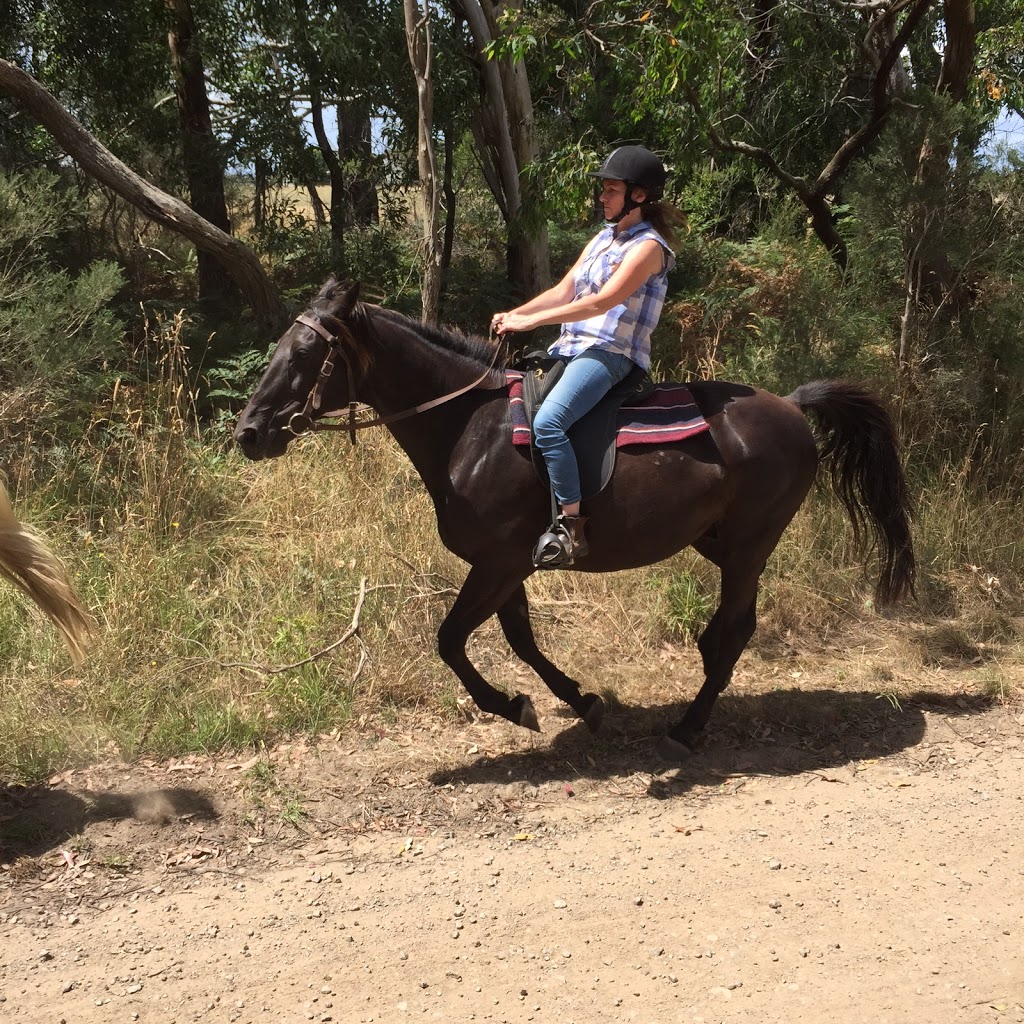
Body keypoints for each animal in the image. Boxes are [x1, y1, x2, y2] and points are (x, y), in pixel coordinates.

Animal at [235, 276, 917, 757]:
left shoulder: (498, 563)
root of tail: (795, 408)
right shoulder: (506, 566)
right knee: (725, 631)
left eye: (304, 352)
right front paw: (575, 701)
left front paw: (513, 705)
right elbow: (519, 639)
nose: (249, 433)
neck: (469, 429)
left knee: (736, 629)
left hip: (753, 541)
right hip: (719, 540)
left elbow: (450, 640)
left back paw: (688, 728)